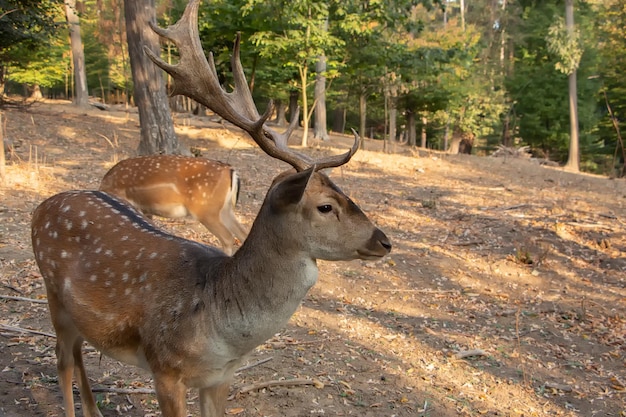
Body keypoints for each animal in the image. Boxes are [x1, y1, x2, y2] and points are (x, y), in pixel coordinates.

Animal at [31, 0, 390, 416]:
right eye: (325, 206)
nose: (383, 241)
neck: (222, 330)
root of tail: (41, 207)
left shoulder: (222, 377)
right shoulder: (165, 368)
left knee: (78, 353)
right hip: (54, 295)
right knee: (63, 360)